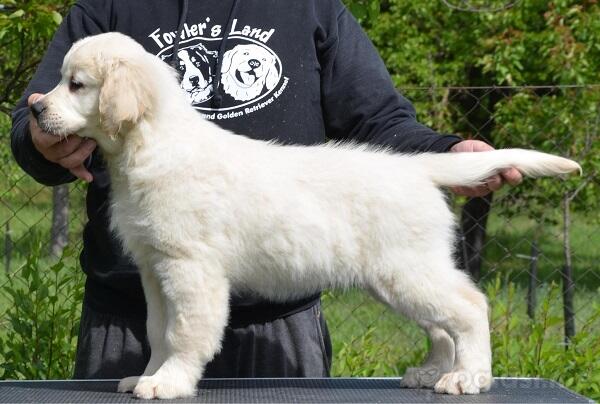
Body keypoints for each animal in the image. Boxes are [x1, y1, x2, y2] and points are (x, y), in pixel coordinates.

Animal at [31, 33, 580, 400]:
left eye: (76, 84)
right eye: (60, 81)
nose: (35, 110)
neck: (150, 146)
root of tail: (416, 166)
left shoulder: (190, 268)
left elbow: (185, 332)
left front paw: (169, 382)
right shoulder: (155, 269)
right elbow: (158, 329)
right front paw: (148, 374)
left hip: (407, 270)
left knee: (468, 308)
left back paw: (469, 376)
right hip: (401, 275)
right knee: (442, 325)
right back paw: (431, 372)